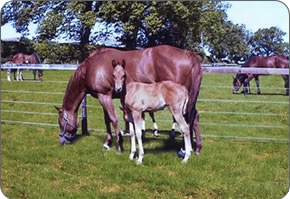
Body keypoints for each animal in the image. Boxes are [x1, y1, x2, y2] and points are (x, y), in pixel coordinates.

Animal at [55, 44, 203, 154]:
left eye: (61, 122)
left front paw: (119, 145)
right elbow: (107, 120)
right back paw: (195, 148)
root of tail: (187, 53)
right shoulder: (104, 96)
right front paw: (107, 143)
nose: (62, 141)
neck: (91, 67)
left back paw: (186, 149)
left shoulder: (104, 96)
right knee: (194, 117)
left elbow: (113, 119)